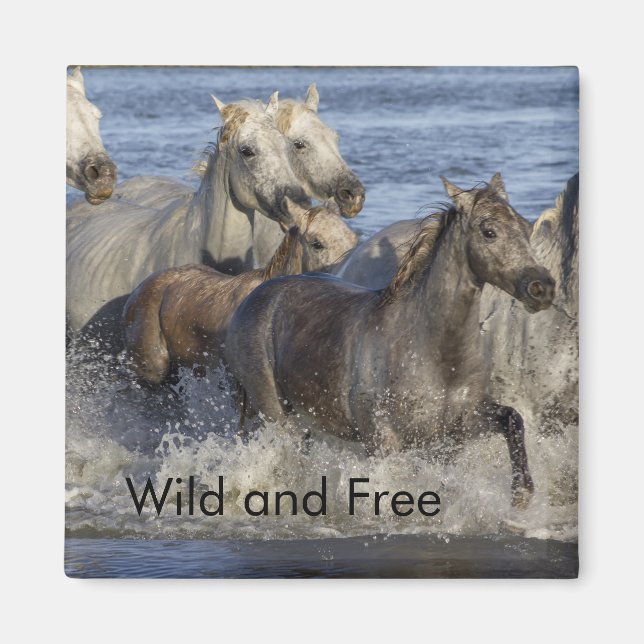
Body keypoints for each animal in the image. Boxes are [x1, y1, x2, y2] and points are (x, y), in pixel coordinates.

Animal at [225, 174, 555, 508]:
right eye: (489, 231)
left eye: (524, 227)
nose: (541, 287)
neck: (436, 355)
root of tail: (255, 296)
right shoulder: (383, 441)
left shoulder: (456, 432)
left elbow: (512, 419)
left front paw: (521, 494)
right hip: (275, 412)